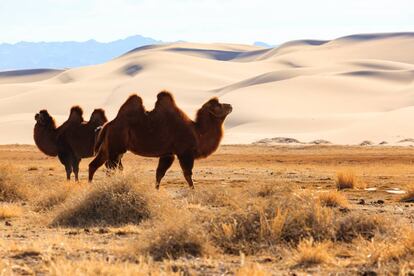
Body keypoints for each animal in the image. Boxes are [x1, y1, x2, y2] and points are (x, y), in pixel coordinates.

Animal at [88, 90, 231, 188]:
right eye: (218, 105)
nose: (230, 105)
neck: (197, 132)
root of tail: (107, 125)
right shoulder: (184, 153)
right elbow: (187, 175)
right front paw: (193, 191)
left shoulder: (168, 154)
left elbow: (159, 174)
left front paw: (156, 190)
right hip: (115, 147)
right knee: (110, 168)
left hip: (108, 148)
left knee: (95, 165)